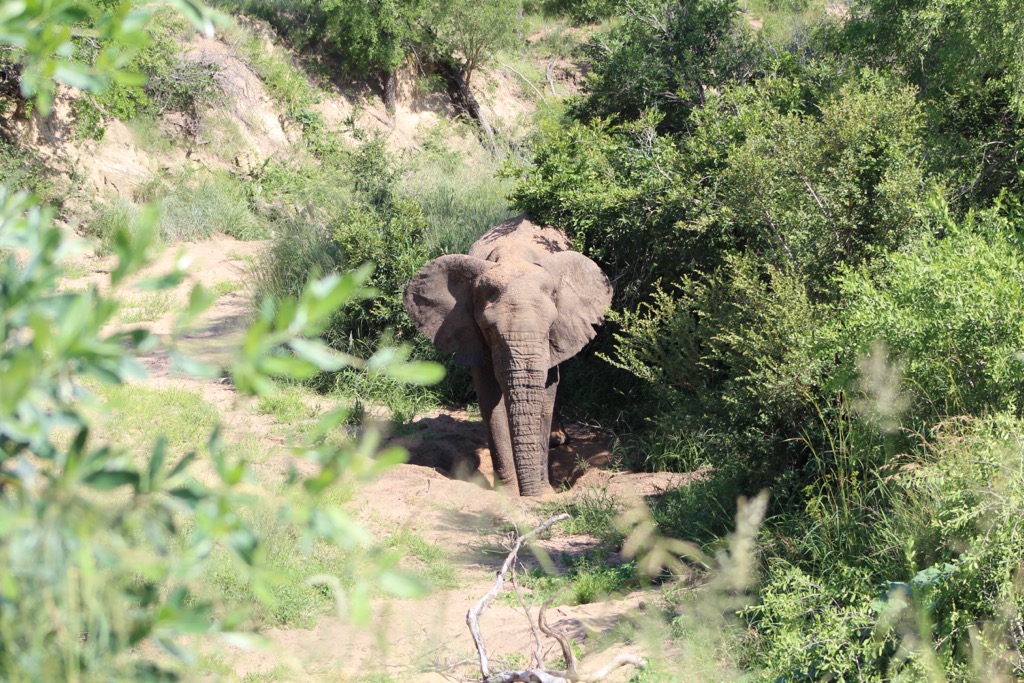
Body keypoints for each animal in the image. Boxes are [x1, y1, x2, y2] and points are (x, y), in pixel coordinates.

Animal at [403, 215, 613, 496]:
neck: (514, 258)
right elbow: (489, 396)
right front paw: (509, 494)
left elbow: (547, 393)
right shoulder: (474, 336)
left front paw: (542, 492)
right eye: (490, 331)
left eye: (550, 326)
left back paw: (557, 439)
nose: (530, 492)